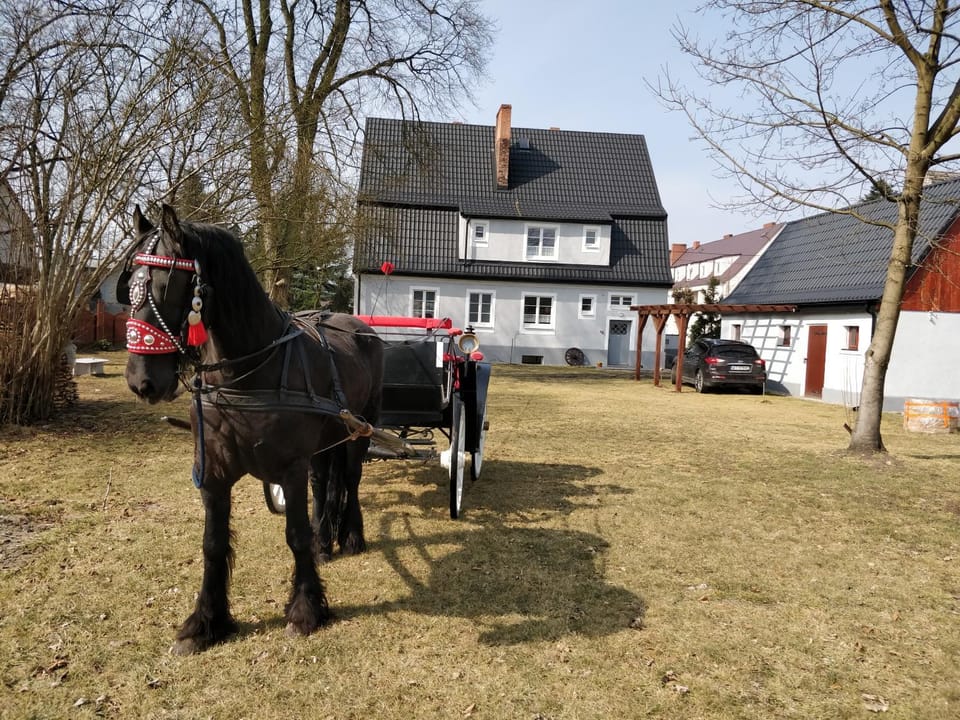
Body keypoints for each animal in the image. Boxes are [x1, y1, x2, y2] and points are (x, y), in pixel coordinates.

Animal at [122, 203, 382, 654]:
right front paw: (205, 622)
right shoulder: (213, 473)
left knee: (349, 480)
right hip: (327, 439)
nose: (142, 382)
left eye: (166, 284)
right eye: (130, 284)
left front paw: (305, 610)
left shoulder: (291, 469)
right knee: (324, 484)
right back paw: (326, 541)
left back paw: (350, 536)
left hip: (359, 431)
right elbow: (212, 543)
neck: (248, 372)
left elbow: (295, 535)